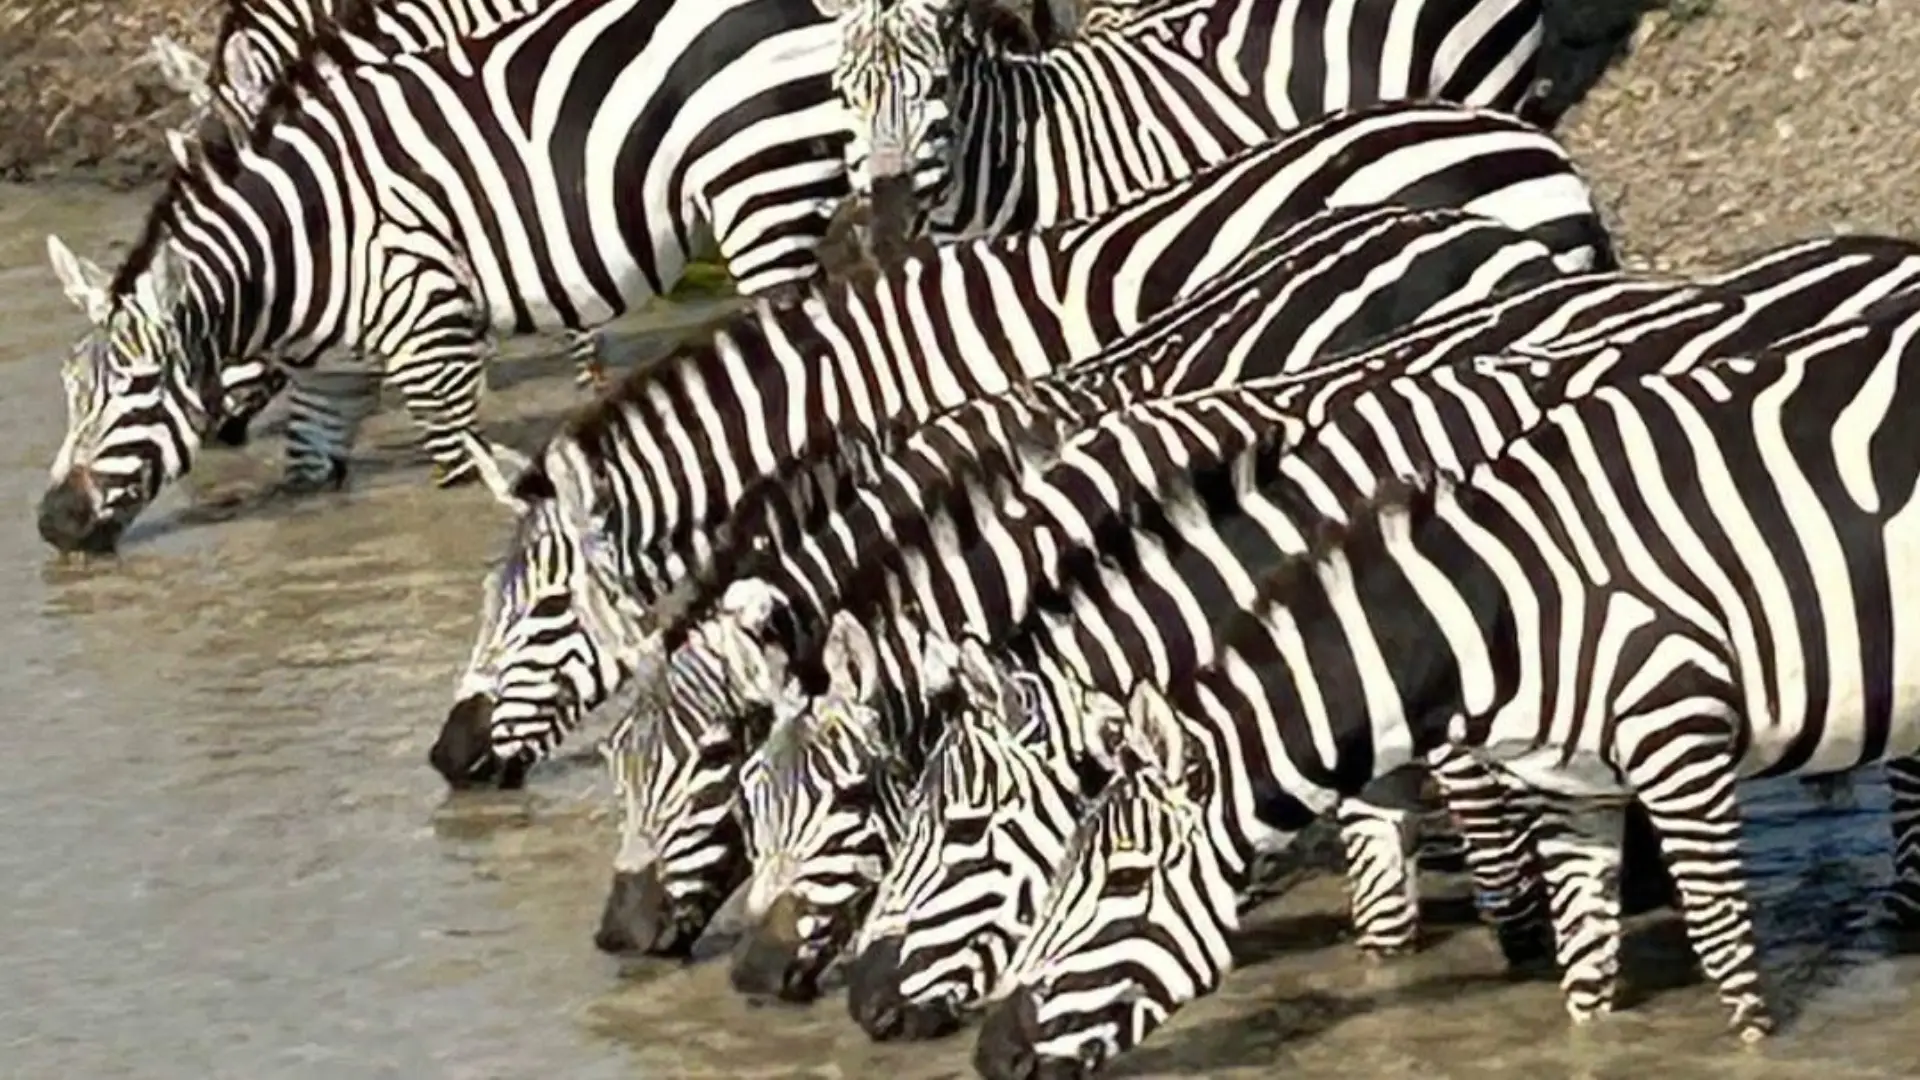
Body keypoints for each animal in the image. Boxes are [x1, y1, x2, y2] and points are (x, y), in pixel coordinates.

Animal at [36, 0, 860, 555]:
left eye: (140, 388)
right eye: (71, 389)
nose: (51, 524)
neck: (309, 238)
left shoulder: (432, 346)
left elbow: (457, 474)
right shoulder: (335, 376)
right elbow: (308, 475)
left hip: (760, 193)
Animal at [738, 235, 1920, 1038]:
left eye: (961, 829)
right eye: (753, 801)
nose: (848, 1005)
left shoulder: (1468, 733)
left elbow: (1507, 888)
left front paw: (1543, 953)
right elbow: (1383, 914)